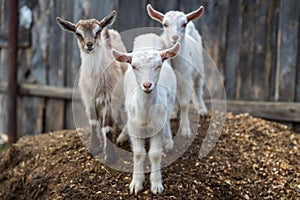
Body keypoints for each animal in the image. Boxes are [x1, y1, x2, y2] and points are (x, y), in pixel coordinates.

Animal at [56, 10, 127, 163]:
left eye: (97, 31)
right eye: (78, 33)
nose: (89, 45)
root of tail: (109, 30)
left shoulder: (108, 99)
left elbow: (107, 126)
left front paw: (110, 156)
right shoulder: (88, 99)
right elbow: (93, 122)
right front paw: (95, 147)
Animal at [112, 34, 178, 194]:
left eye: (158, 65)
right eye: (134, 66)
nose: (147, 85)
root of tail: (148, 36)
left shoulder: (158, 126)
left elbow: (154, 154)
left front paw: (156, 184)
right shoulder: (135, 128)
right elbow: (138, 153)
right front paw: (136, 184)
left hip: (170, 100)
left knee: (167, 119)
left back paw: (168, 141)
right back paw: (122, 136)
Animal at [146, 4, 207, 138]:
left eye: (183, 24)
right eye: (165, 24)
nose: (175, 37)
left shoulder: (185, 78)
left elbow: (184, 103)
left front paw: (185, 129)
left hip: (199, 67)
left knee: (198, 87)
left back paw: (202, 109)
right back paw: (174, 112)